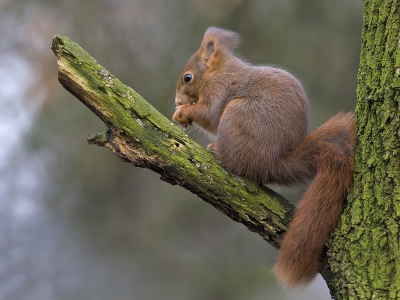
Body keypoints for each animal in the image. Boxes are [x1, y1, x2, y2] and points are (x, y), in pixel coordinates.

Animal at [172, 27, 356, 286]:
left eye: (187, 77)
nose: (177, 100)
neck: (218, 72)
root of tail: (272, 163)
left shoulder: (218, 91)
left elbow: (209, 115)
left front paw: (184, 112)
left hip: (237, 115)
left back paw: (218, 150)